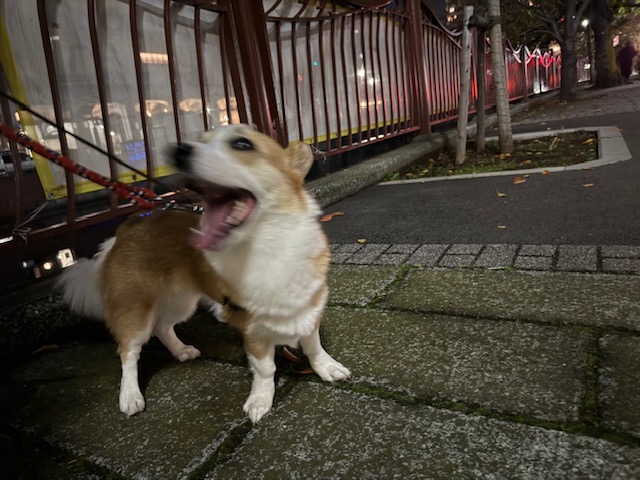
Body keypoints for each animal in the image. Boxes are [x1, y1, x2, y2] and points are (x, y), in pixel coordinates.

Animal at [58, 125, 350, 422]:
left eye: (242, 144)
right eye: (200, 140)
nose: (178, 150)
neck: (269, 247)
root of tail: (127, 227)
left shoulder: (308, 310)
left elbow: (313, 346)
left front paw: (326, 367)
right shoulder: (251, 329)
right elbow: (265, 368)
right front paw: (260, 400)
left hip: (181, 301)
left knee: (163, 327)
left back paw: (181, 351)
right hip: (134, 311)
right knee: (129, 351)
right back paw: (130, 396)